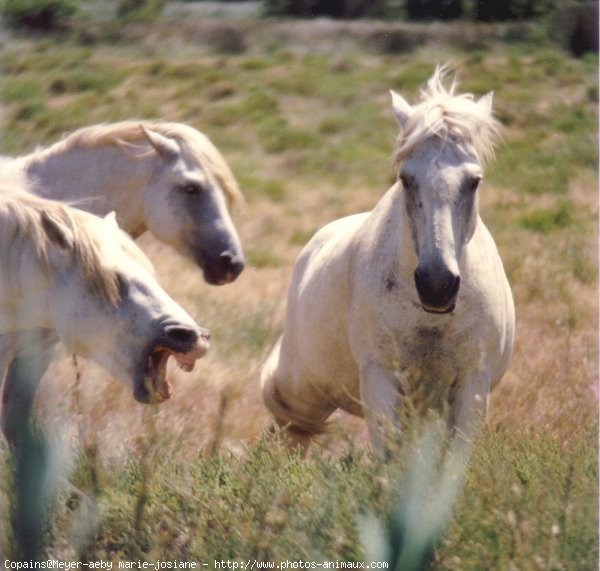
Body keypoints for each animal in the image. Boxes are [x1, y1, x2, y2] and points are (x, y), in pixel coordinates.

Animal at [262, 68, 516, 452]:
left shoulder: (472, 387)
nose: (437, 285)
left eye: (474, 181)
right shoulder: (379, 380)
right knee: (293, 431)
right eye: (406, 179)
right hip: (302, 391)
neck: (431, 321)